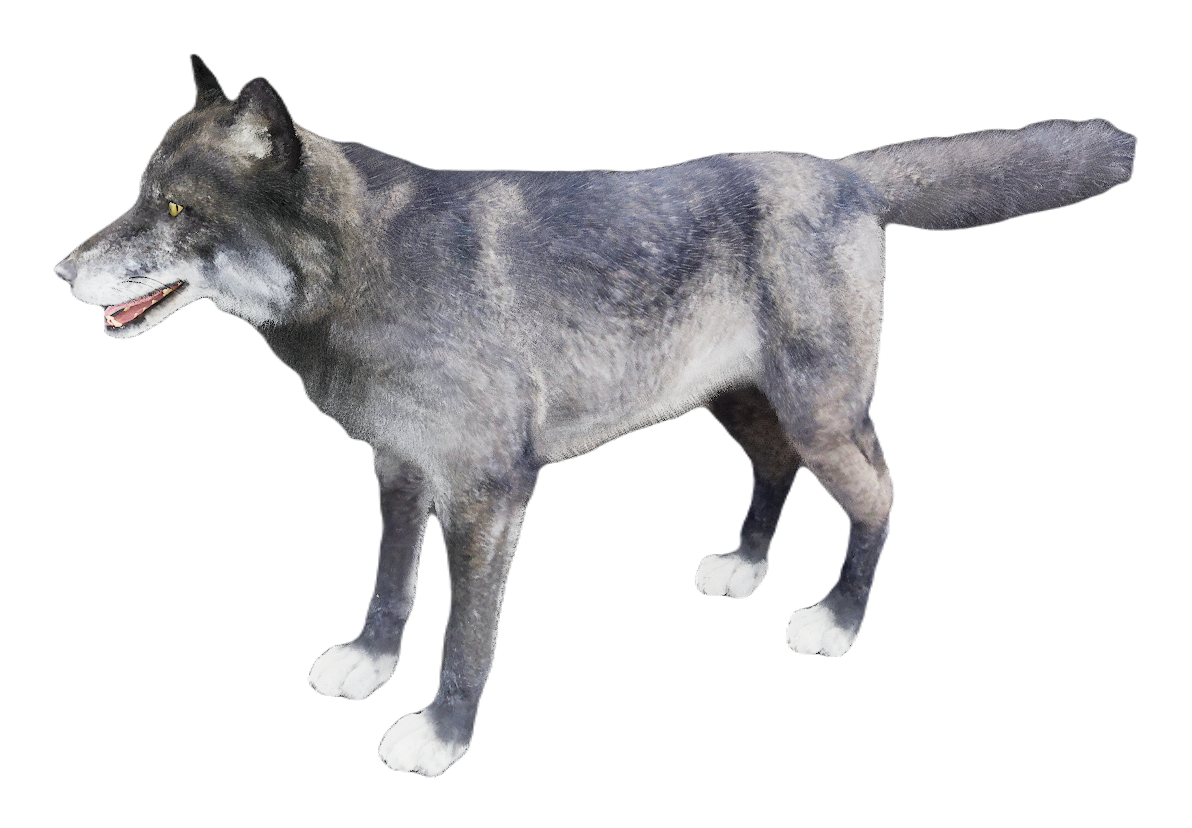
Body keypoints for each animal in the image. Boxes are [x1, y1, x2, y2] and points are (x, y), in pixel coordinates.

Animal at [55, 54, 1136, 776]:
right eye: (139, 196)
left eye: (177, 211)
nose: (62, 274)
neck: (369, 266)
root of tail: (845, 174)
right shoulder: (399, 470)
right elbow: (391, 590)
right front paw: (367, 664)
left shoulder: (490, 493)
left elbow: (467, 633)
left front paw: (442, 734)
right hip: (740, 408)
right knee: (775, 470)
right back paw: (744, 568)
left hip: (822, 413)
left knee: (879, 496)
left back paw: (835, 619)